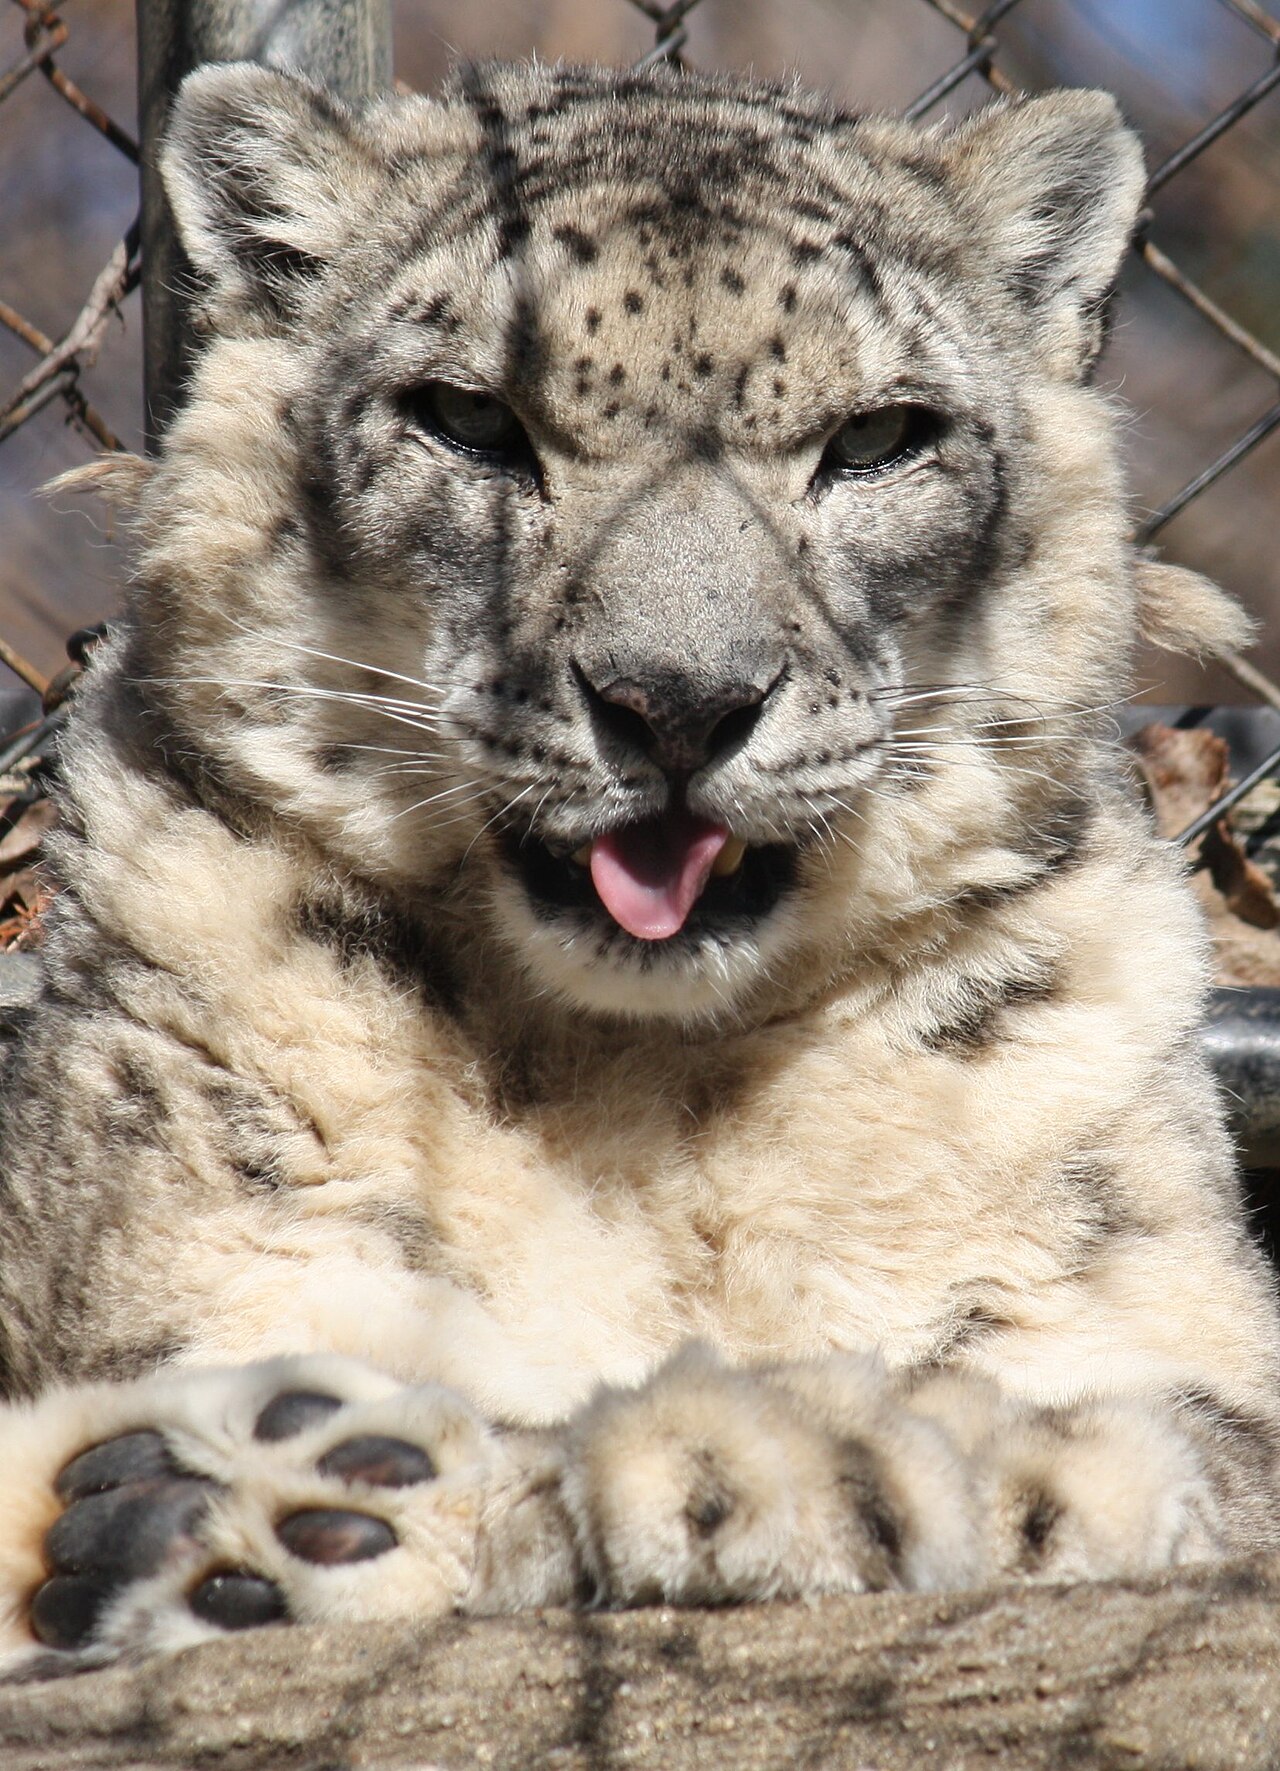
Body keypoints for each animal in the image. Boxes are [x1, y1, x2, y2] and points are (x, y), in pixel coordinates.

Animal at [0, 55, 1277, 1671]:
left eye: (878, 437)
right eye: (468, 417)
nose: (677, 697)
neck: (650, 1094)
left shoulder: (1123, 1304)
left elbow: (1118, 1449)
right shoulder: (231, 1240)